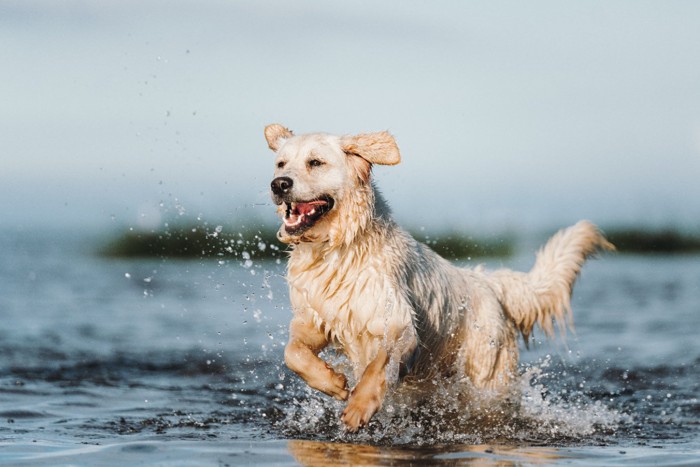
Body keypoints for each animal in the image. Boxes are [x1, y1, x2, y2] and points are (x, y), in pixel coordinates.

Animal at [264, 124, 612, 432]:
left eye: (315, 162)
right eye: (281, 163)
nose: (278, 184)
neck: (337, 247)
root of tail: (488, 282)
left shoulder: (398, 322)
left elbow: (380, 362)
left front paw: (359, 406)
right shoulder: (315, 318)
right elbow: (292, 353)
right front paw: (333, 383)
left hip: (486, 379)